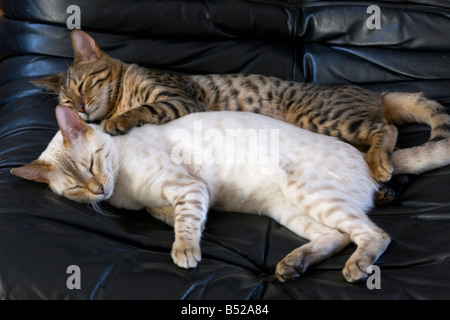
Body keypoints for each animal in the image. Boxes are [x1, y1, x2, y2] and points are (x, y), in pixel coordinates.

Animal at [33, 30, 450, 195]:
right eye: (67, 102)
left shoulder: (179, 98)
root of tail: (374, 92)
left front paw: (117, 120)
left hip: (322, 117)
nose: (81, 108)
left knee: (388, 131)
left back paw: (381, 164)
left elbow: (144, 108)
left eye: (85, 85)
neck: (122, 93)